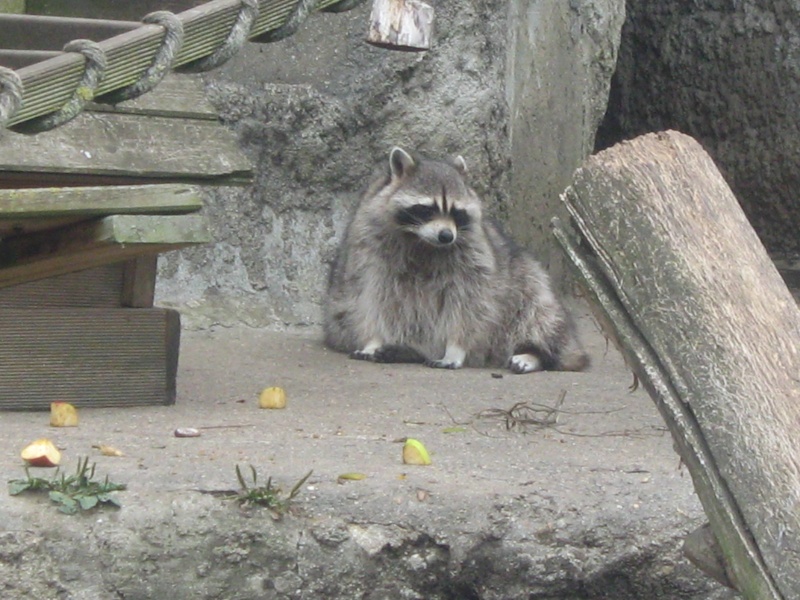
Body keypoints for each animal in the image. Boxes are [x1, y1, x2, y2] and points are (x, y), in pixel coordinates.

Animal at [322, 148, 592, 372]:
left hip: (528, 282)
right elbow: (369, 298)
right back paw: (406, 350)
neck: (422, 241)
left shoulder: (474, 258)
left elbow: (470, 305)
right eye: (427, 209)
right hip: (337, 317)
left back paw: (534, 353)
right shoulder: (368, 251)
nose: (446, 236)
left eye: (455, 211)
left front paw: (455, 348)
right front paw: (373, 339)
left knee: (538, 314)